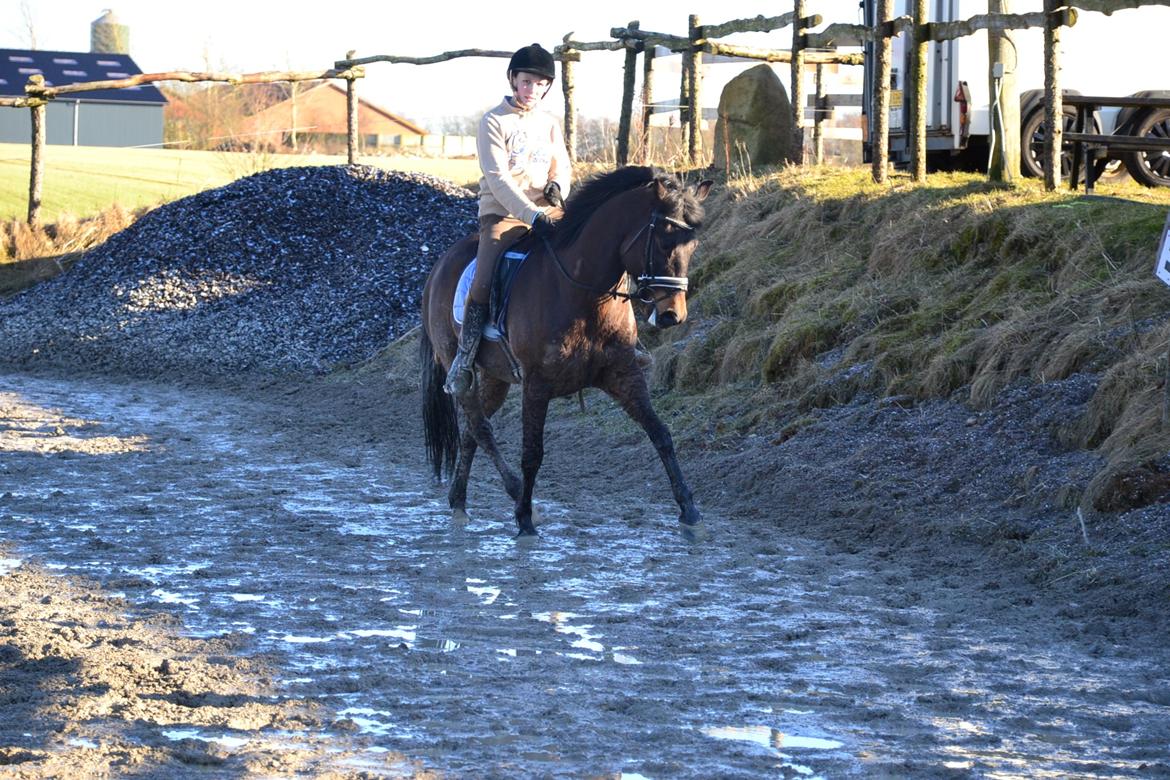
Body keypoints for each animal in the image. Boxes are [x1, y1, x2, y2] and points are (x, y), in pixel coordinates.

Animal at [419, 165, 713, 538]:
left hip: (496, 377)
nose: (673, 315)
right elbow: (532, 452)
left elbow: (660, 433)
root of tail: (439, 266)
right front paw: (525, 520)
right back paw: (515, 494)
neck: (584, 293)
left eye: (693, 245)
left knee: (472, 431)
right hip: (461, 368)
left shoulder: (624, 374)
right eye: (663, 242)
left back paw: (459, 501)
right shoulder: (537, 384)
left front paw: (691, 513)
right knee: (480, 426)